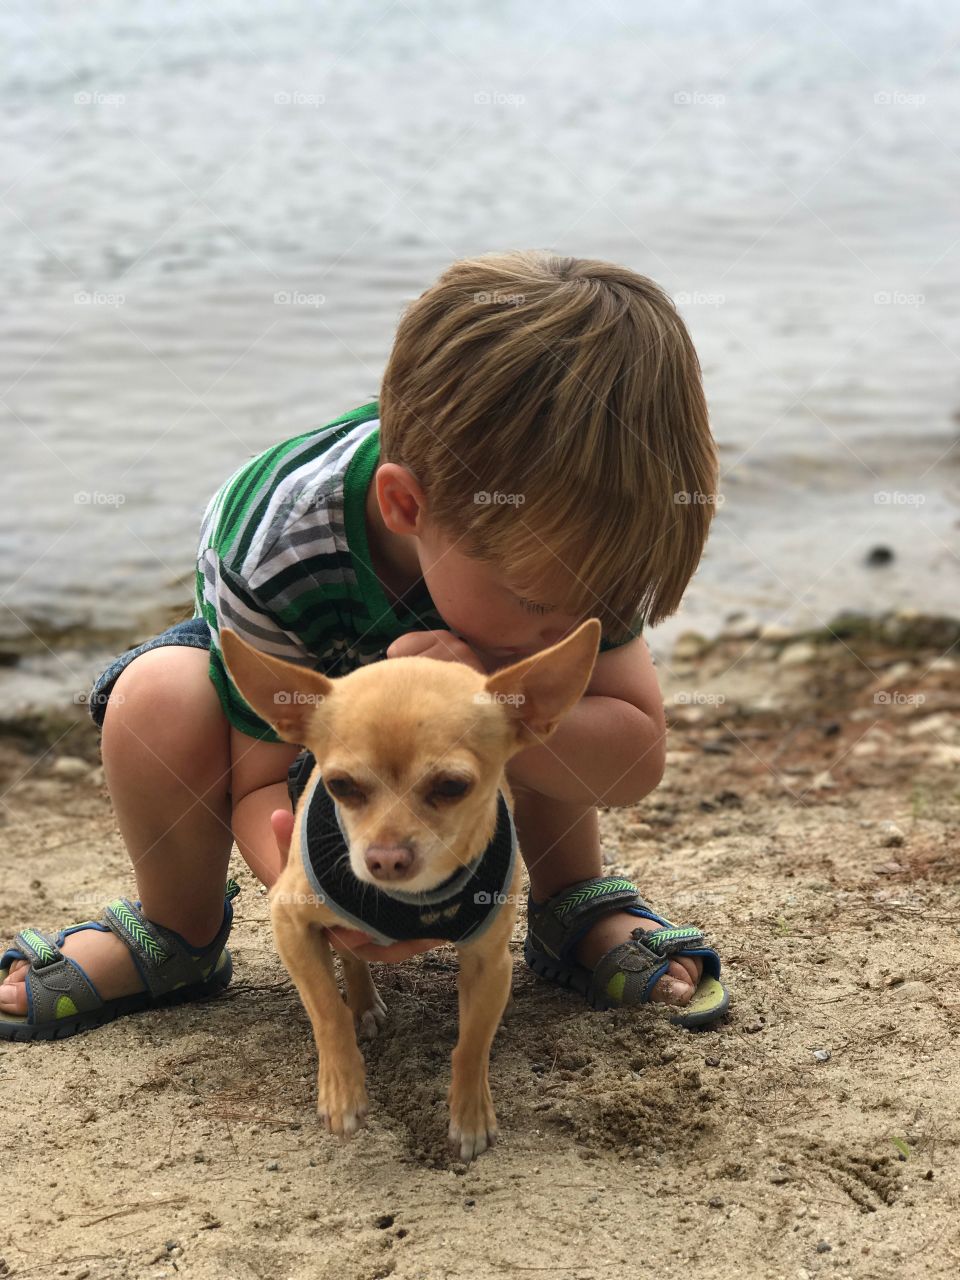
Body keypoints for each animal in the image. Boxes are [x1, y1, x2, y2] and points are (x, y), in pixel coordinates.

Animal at [222, 619, 604, 1162]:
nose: (384, 858)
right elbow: (326, 1010)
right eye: (340, 786)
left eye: (452, 787)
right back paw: (362, 1005)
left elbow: (472, 1042)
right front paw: (342, 1093)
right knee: (349, 959)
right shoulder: (290, 922)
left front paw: (470, 1117)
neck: (412, 901)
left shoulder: (490, 961)